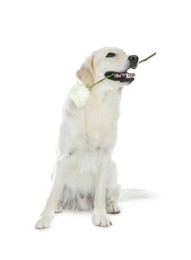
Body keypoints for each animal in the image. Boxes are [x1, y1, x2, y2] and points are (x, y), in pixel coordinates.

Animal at [34, 47, 139, 230]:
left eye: (125, 52)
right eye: (110, 54)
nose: (135, 57)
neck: (98, 104)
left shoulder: (105, 156)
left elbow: (100, 194)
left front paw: (100, 215)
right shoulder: (64, 157)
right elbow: (52, 194)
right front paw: (44, 218)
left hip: (113, 170)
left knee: (114, 194)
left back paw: (112, 206)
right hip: (55, 172)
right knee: (60, 194)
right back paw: (59, 205)